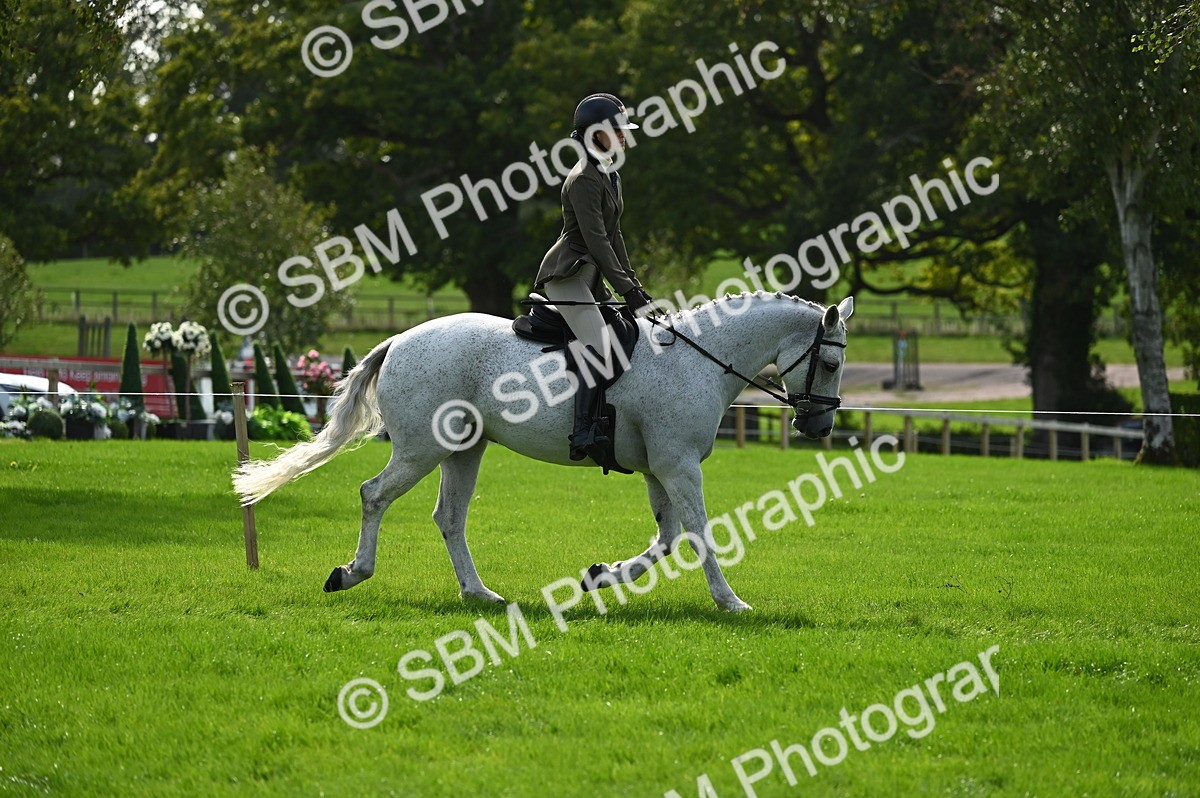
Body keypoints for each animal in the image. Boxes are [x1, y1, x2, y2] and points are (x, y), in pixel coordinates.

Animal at [233, 292, 853, 612]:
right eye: (829, 361)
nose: (819, 425)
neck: (699, 357)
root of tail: (401, 340)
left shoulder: (660, 469)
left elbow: (667, 538)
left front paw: (602, 575)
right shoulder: (678, 466)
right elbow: (698, 533)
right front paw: (729, 601)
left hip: (464, 449)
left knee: (449, 516)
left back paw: (479, 593)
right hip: (420, 450)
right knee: (373, 495)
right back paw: (351, 574)